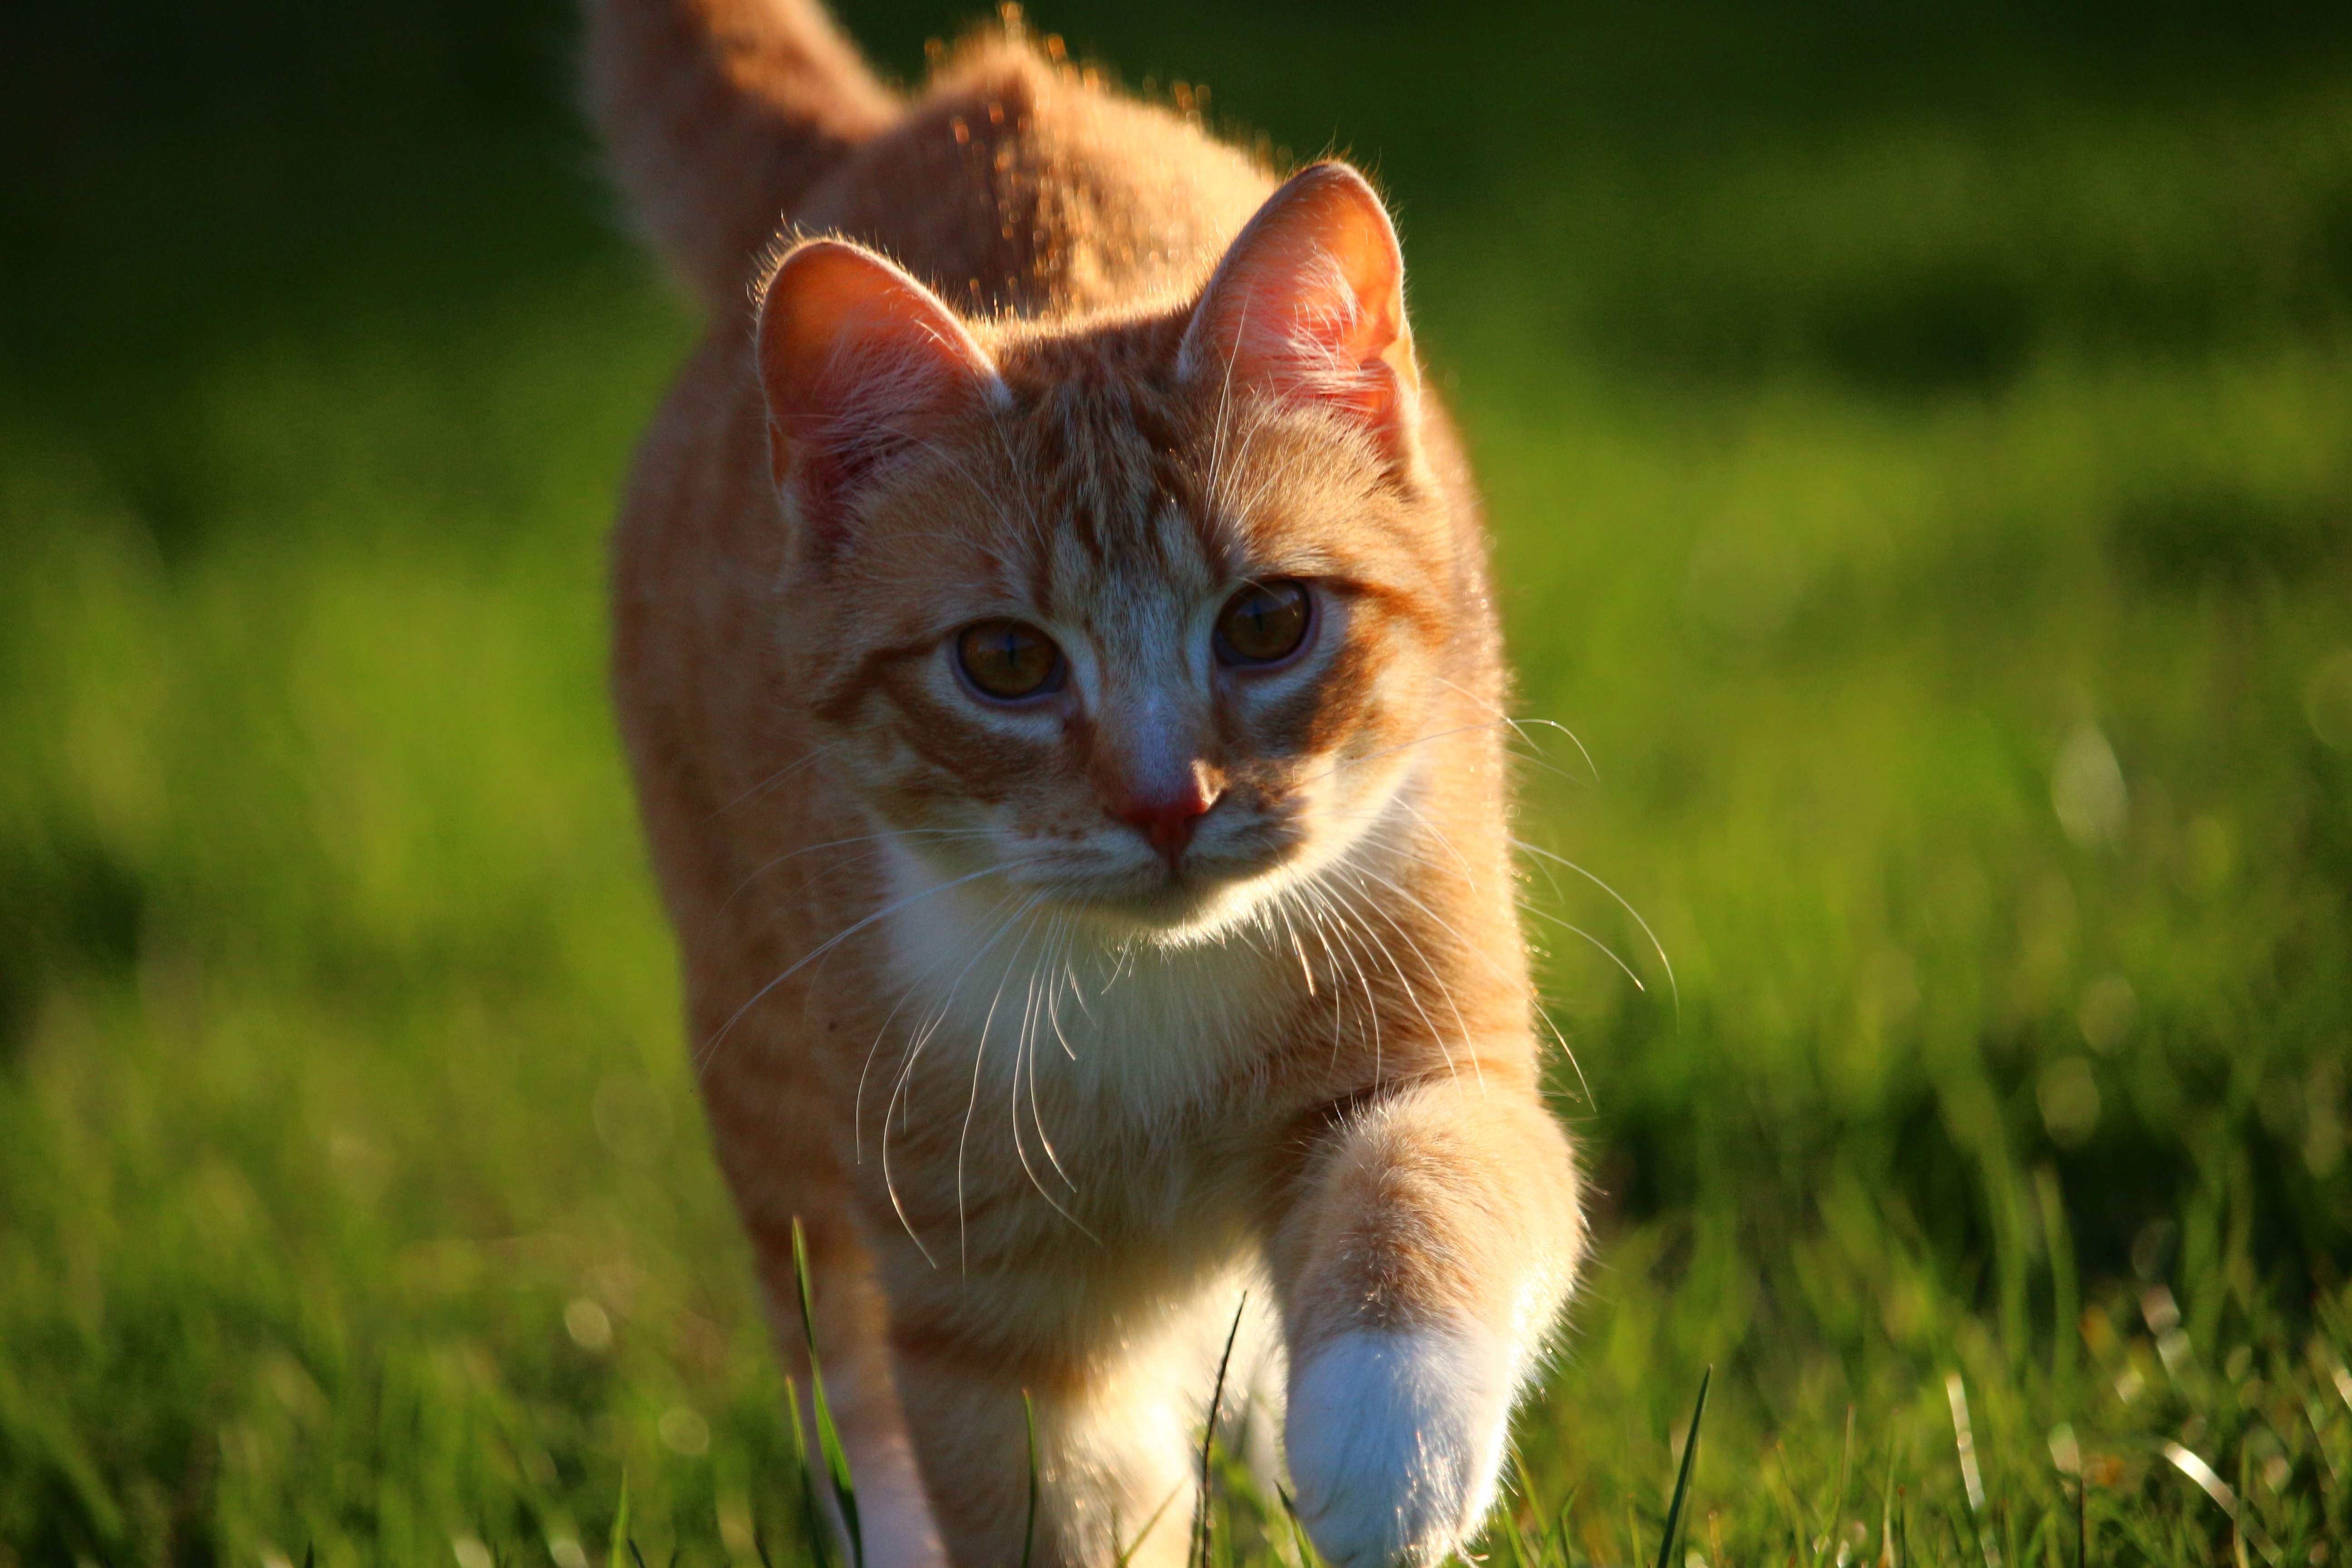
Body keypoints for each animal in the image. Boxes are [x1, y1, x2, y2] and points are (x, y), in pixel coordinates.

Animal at [585, 6, 1580, 1561]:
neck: (1142, 995)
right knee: (840, 1370)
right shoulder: (990, 1314)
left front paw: (1383, 1457)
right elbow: (1042, 1493)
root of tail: (937, 112)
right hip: (764, 1077)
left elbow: (1436, 1176)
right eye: (1004, 661)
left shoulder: (1432, 1037)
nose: (1171, 804)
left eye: (1267, 622)